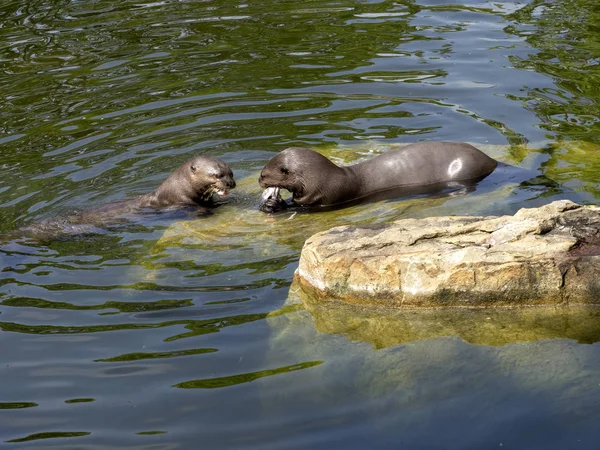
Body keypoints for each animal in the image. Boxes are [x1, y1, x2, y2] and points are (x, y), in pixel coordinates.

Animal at [258, 142, 496, 213]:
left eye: (263, 173)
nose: (259, 181)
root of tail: (492, 160)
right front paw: (273, 203)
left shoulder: (328, 196)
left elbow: (305, 207)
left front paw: (274, 204)